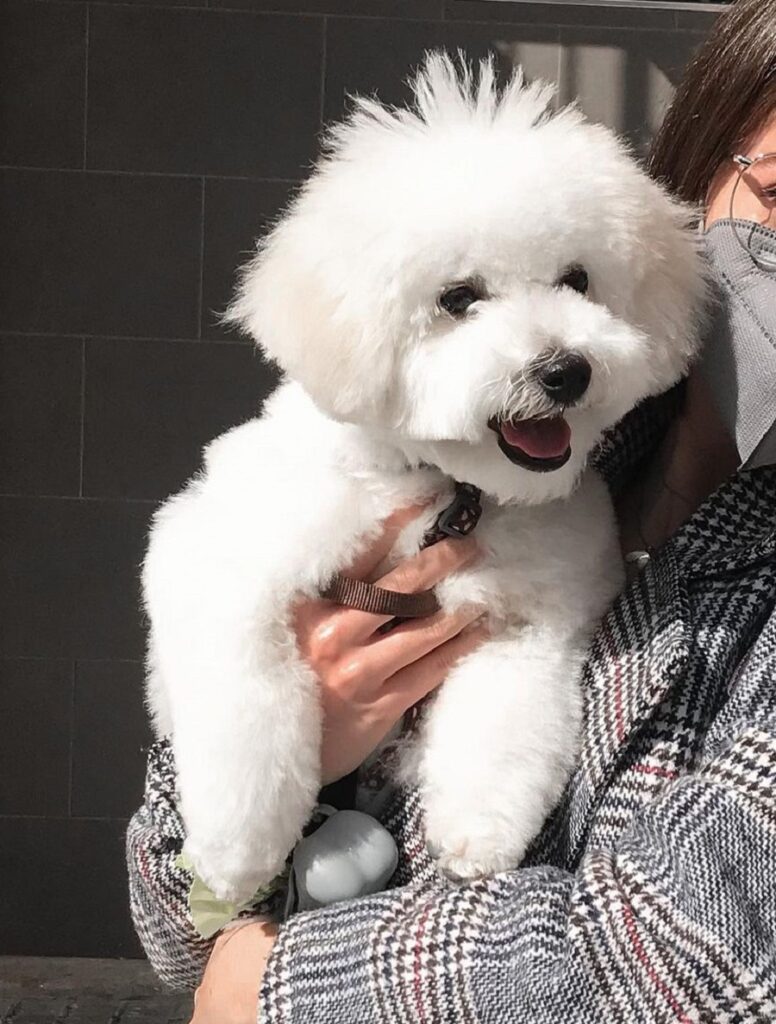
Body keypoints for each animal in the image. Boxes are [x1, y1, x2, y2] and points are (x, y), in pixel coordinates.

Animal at [143, 51, 708, 901]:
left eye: (578, 280)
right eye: (457, 298)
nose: (565, 370)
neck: (446, 489)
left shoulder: (529, 624)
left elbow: (503, 725)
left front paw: (478, 832)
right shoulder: (216, 555)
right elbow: (245, 697)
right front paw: (236, 848)